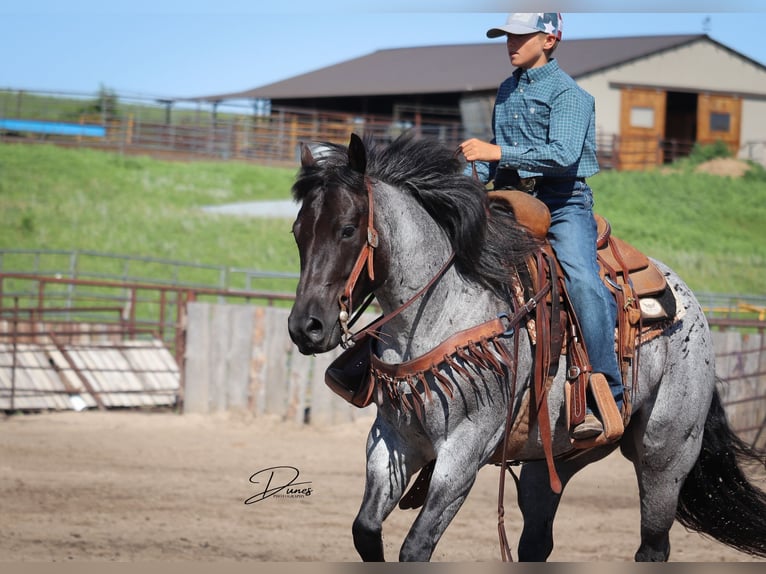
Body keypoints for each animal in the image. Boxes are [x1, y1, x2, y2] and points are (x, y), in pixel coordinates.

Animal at [288, 132, 766, 564]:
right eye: (297, 232)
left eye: (348, 229)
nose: (305, 327)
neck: (441, 309)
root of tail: (690, 303)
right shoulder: (393, 438)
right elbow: (366, 531)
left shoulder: (465, 448)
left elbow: (416, 546)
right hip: (554, 459)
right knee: (537, 541)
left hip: (665, 454)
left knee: (653, 544)